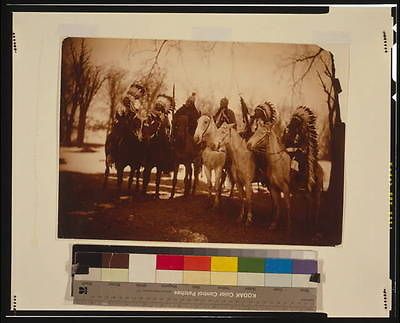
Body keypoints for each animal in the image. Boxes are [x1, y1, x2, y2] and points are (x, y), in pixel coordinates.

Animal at [282, 106, 324, 235]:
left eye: (294, 122)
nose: (288, 126)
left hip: (312, 190)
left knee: (313, 203)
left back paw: (311, 225)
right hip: (315, 190)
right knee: (315, 203)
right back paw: (312, 225)